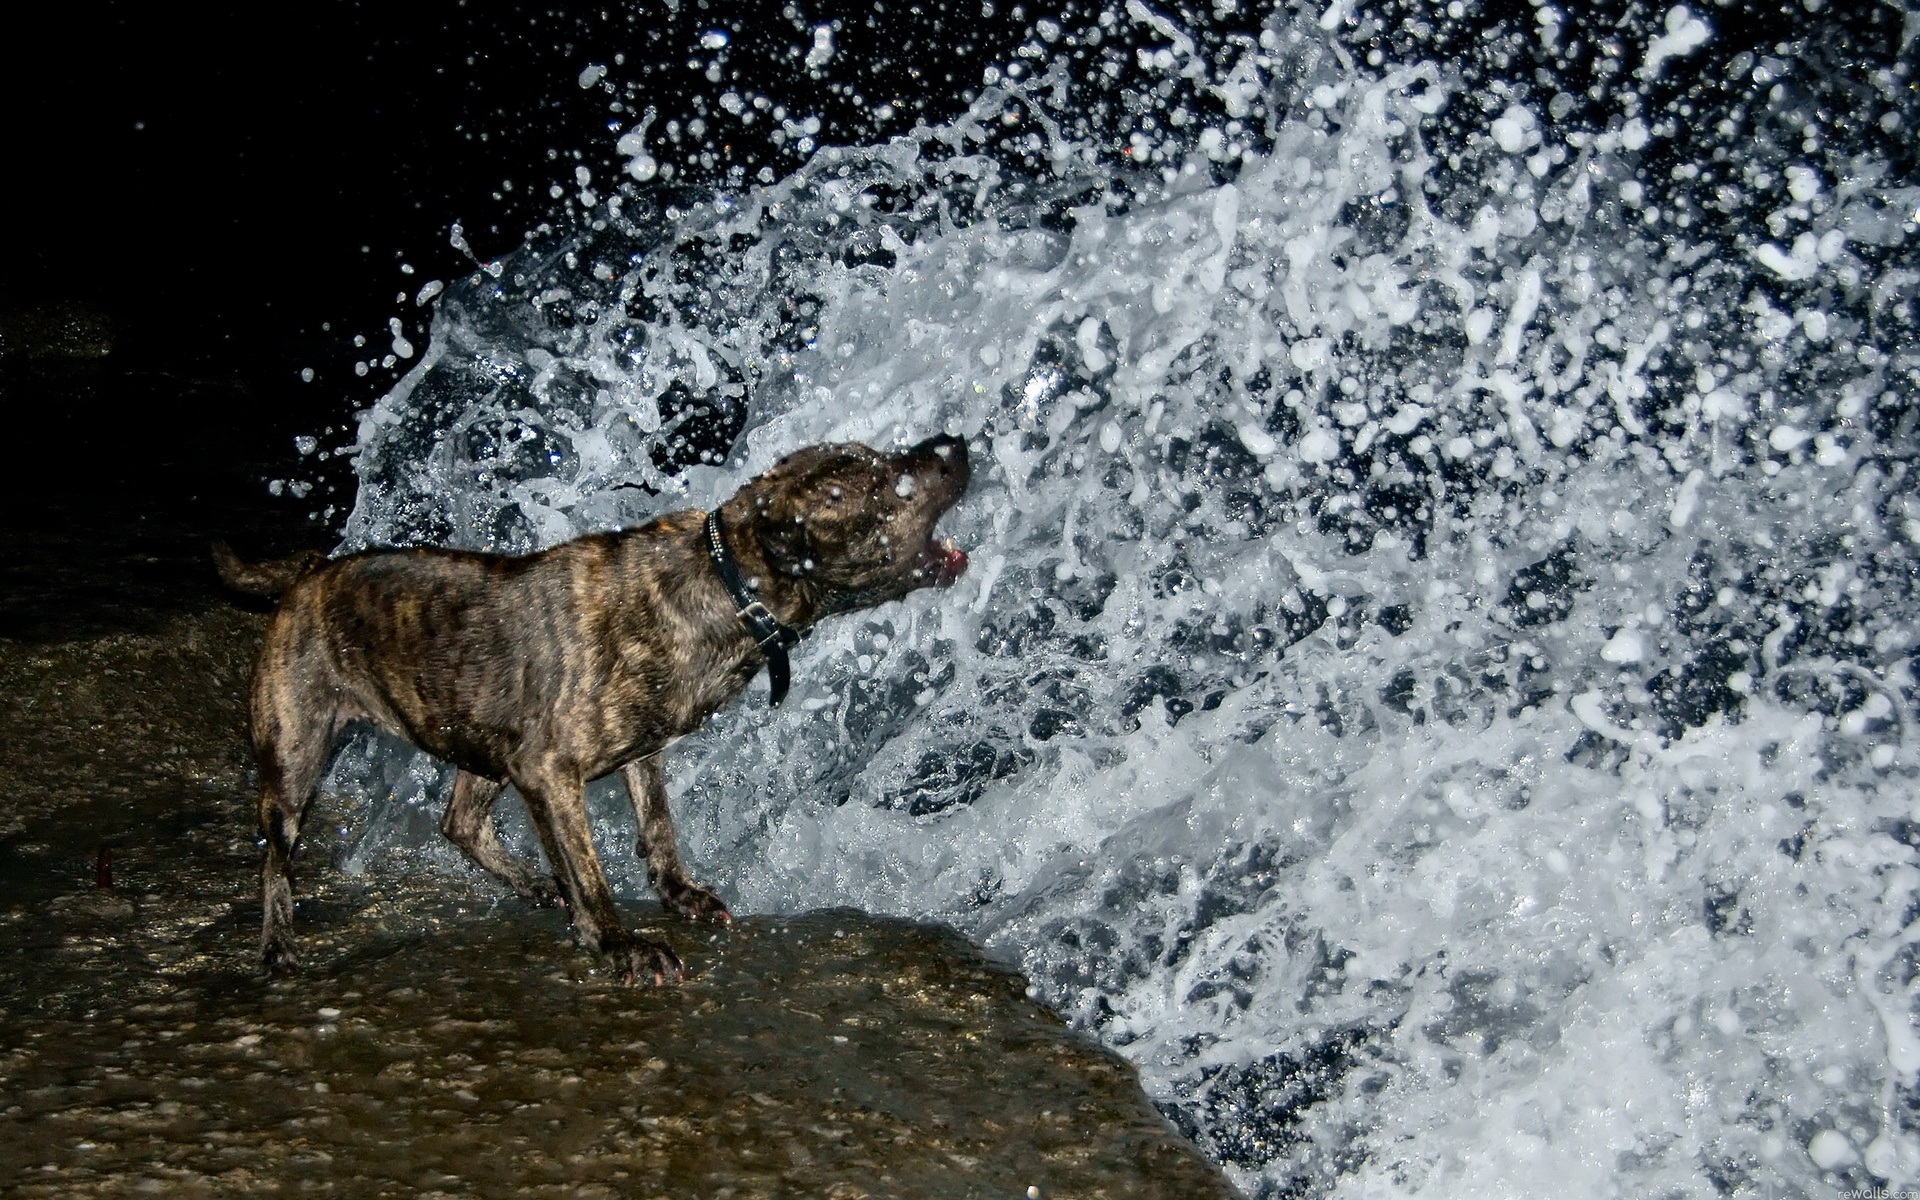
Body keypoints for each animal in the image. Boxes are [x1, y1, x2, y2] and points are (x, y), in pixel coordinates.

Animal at [216, 437, 967, 983]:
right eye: (874, 480)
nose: (953, 443)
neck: (723, 581)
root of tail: (311, 573)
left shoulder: (635, 753)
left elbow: (658, 827)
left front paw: (676, 895)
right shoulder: (549, 772)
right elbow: (590, 870)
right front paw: (617, 941)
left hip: (482, 742)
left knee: (459, 823)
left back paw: (531, 883)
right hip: (296, 759)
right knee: (276, 859)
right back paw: (277, 945)